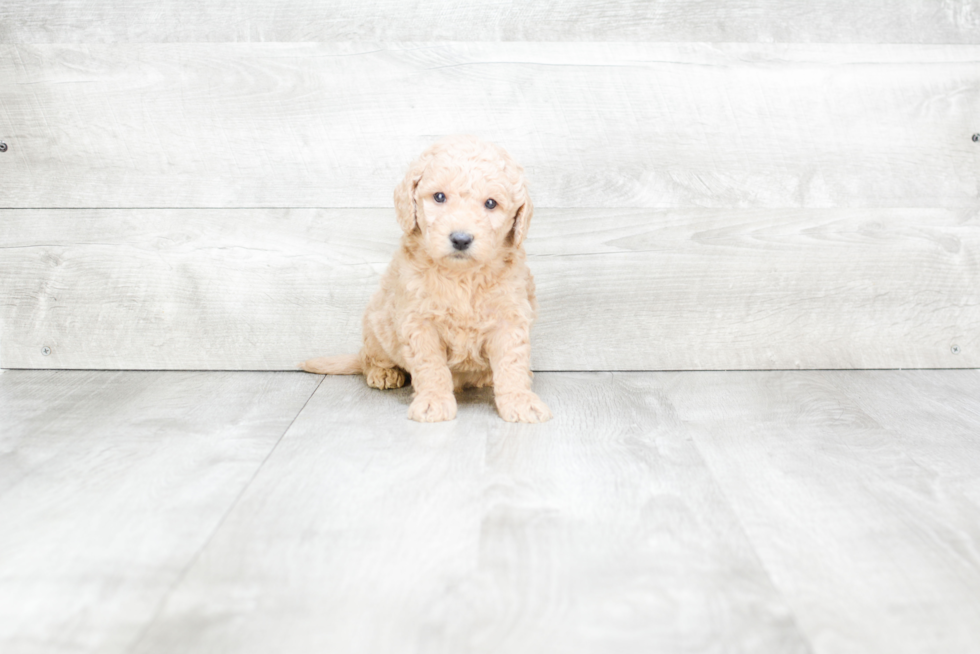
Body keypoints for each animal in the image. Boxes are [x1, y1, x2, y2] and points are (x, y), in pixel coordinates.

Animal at [302, 138, 552, 426]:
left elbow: (512, 363)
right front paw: (434, 401)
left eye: (491, 203)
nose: (461, 239)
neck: (462, 276)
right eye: (439, 197)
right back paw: (384, 373)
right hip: (377, 325)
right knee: (369, 357)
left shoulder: (509, 317)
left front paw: (520, 400)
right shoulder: (419, 322)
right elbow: (431, 365)